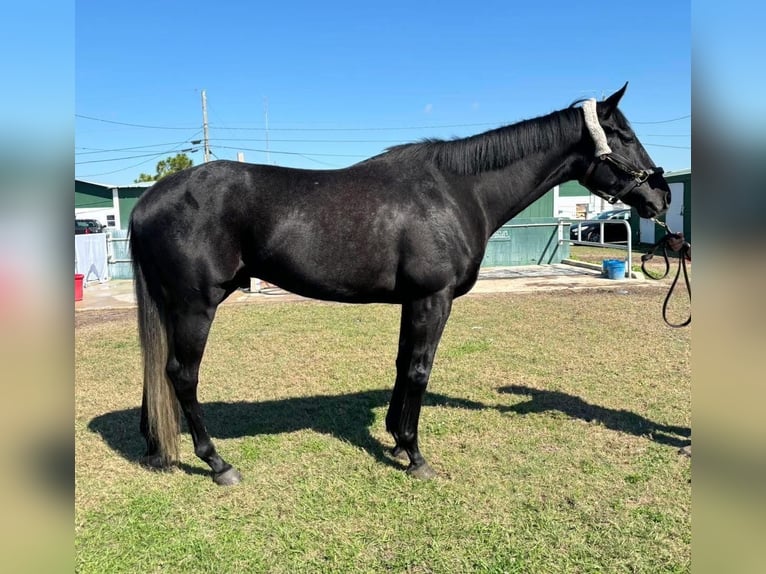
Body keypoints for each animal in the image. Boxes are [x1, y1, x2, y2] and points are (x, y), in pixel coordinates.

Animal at [129, 83, 668, 486]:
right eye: (622, 134)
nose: (660, 195)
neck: (457, 190)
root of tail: (148, 201)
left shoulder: (414, 302)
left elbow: (402, 363)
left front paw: (394, 438)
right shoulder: (433, 298)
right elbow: (419, 370)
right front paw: (415, 454)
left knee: (158, 371)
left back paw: (155, 448)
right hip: (196, 307)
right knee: (181, 375)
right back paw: (217, 463)